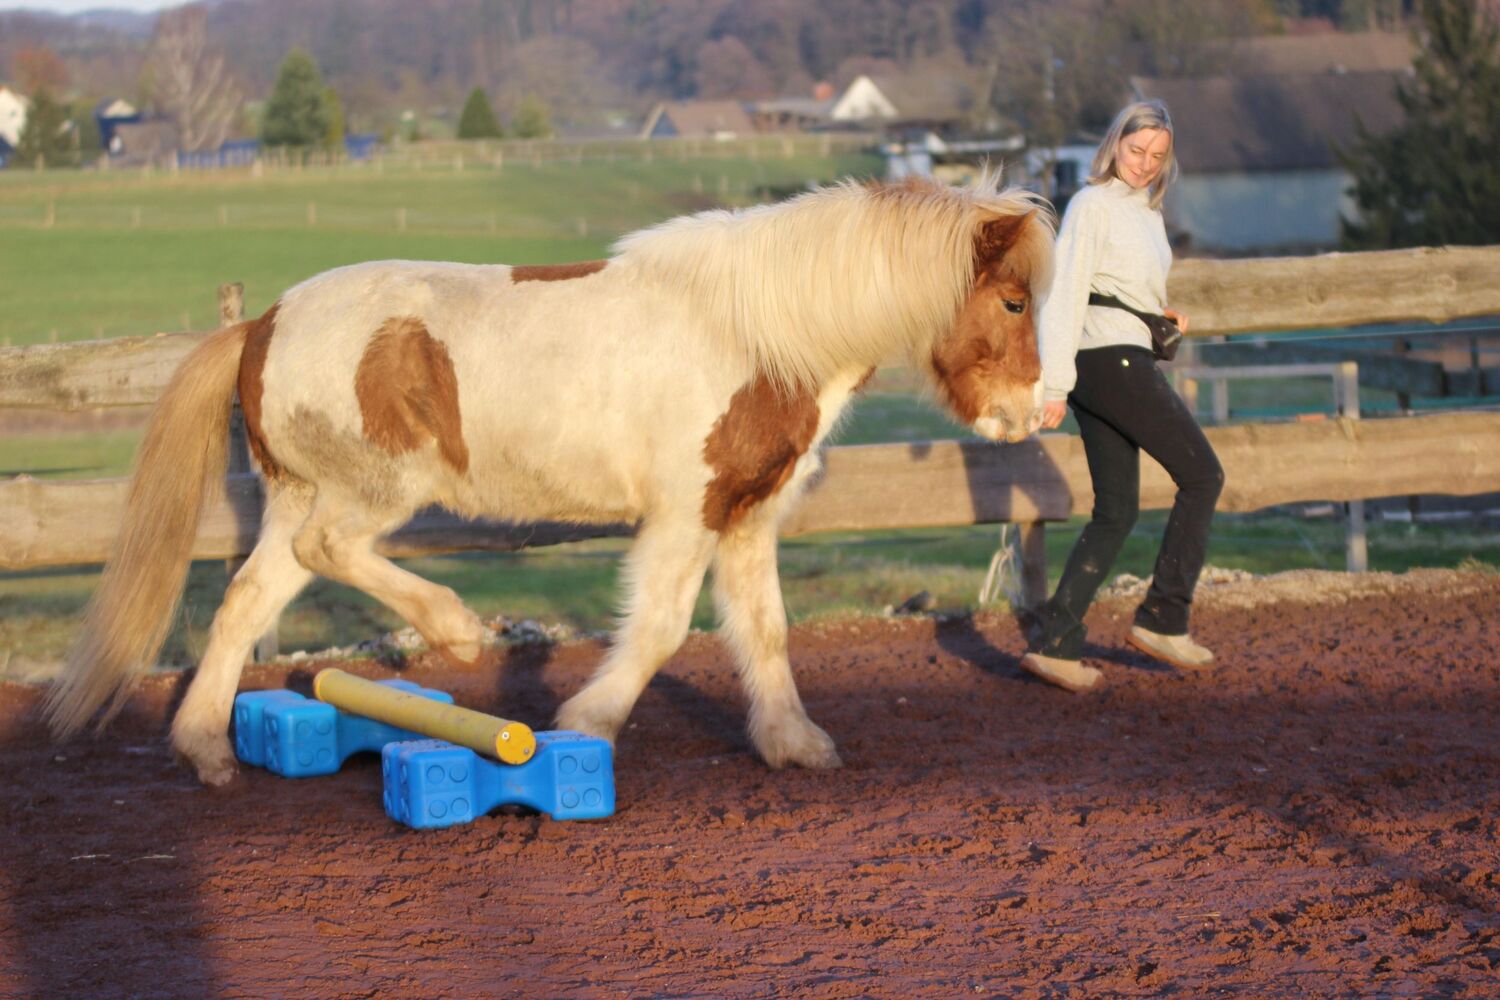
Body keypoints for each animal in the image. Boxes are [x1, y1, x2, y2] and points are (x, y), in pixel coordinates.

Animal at [46, 172, 1056, 785]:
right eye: (1012, 300)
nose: (1035, 415)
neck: (758, 332)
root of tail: (262, 324)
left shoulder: (744, 517)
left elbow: (764, 631)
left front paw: (793, 745)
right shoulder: (684, 514)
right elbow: (657, 630)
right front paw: (586, 719)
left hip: (298, 494)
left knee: (246, 601)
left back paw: (206, 748)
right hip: (369, 493)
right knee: (328, 552)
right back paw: (457, 631)